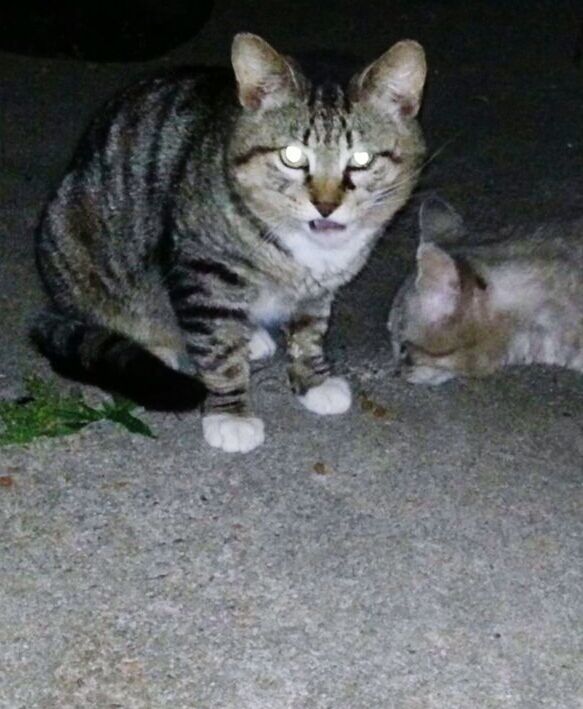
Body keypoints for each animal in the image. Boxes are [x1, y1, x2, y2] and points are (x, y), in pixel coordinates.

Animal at [35, 33, 428, 450]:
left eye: (362, 159)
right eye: (292, 156)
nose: (325, 206)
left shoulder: (319, 288)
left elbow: (309, 329)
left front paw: (313, 379)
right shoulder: (203, 270)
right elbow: (219, 349)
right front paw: (230, 414)